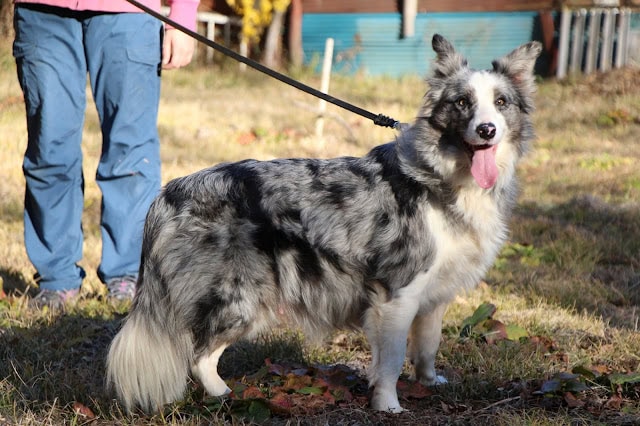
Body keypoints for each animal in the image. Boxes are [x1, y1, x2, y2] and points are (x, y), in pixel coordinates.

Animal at [107, 34, 541, 413]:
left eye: (501, 102)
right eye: (463, 102)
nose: (487, 130)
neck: (444, 177)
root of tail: (169, 193)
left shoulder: (435, 293)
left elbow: (427, 346)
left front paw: (429, 382)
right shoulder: (397, 294)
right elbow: (391, 360)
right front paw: (389, 405)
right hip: (241, 299)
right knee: (197, 356)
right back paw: (226, 395)